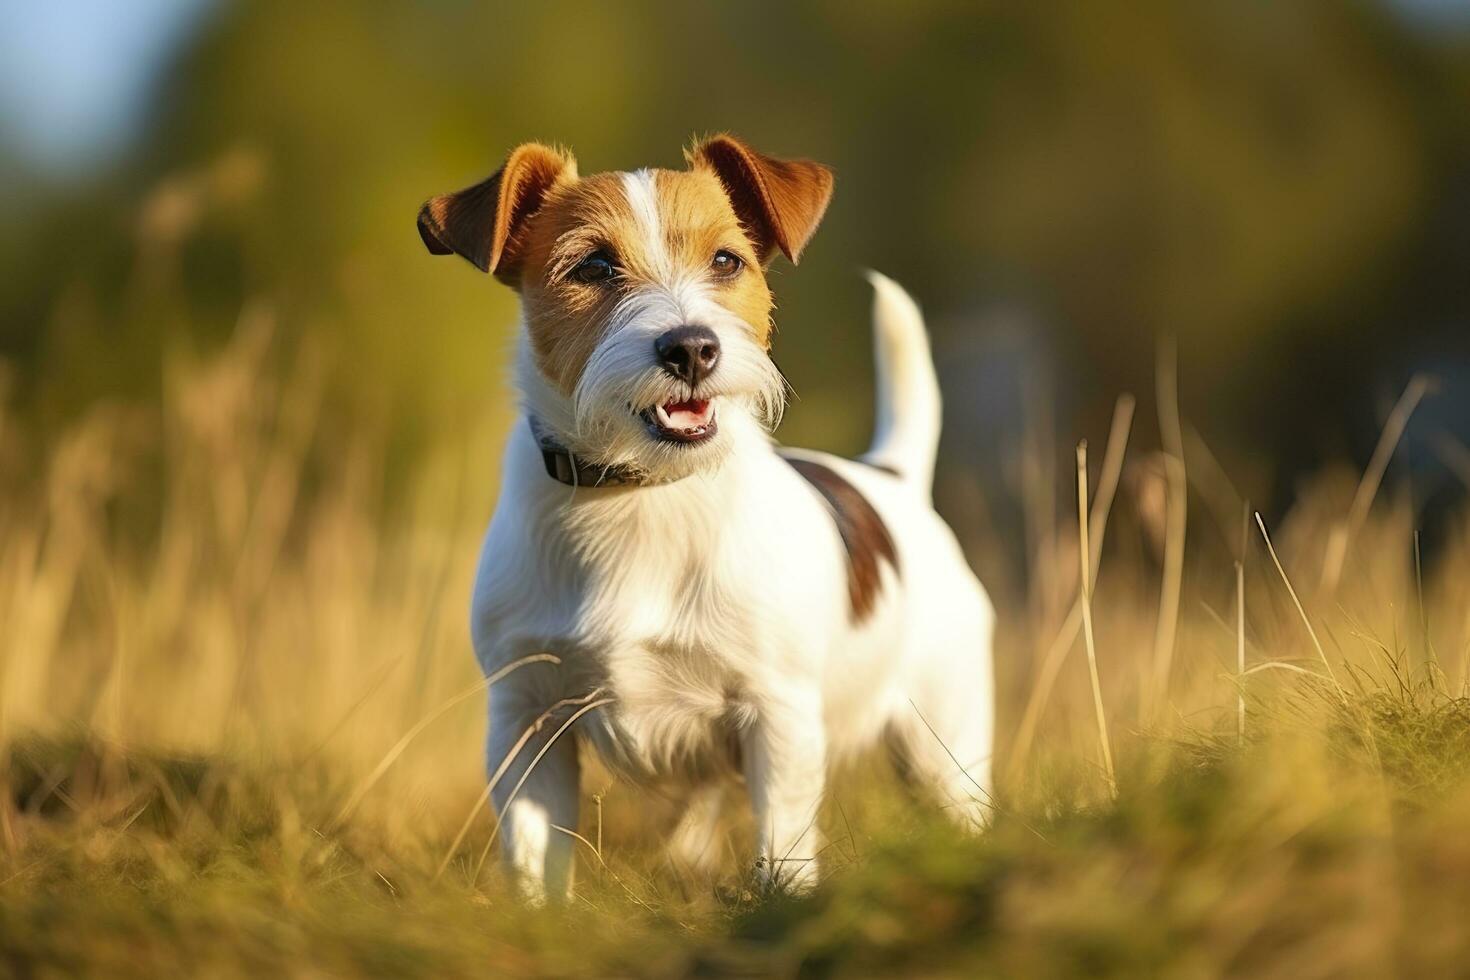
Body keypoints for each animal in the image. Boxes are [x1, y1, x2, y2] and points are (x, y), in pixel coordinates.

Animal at [417, 135, 999, 905]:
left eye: (727, 260)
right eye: (592, 265)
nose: (691, 348)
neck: (640, 494)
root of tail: (893, 478)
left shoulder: (779, 719)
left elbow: (782, 845)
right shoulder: (525, 722)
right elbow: (533, 854)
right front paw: (537, 916)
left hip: (944, 745)